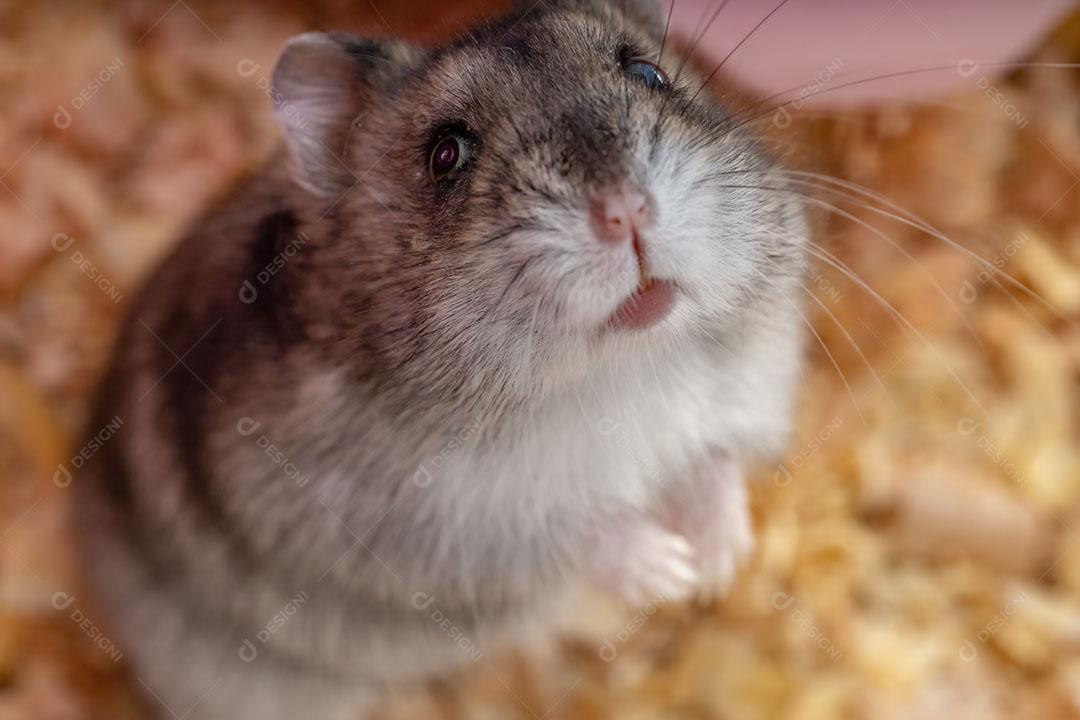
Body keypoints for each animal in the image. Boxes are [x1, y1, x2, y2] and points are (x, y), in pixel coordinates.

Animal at [73, 0, 808, 718]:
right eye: (446, 156)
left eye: (648, 74)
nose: (626, 210)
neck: (620, 368)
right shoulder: (441, 531)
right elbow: (574, 531)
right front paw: (668, 570)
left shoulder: (746, 389)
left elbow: (715, 461)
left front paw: (718, 562)